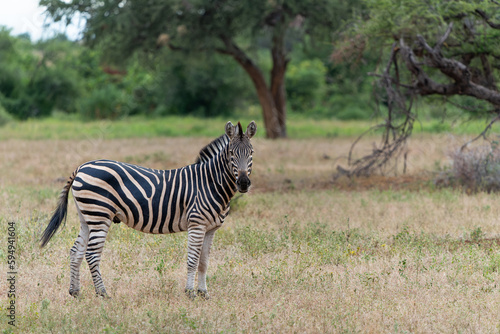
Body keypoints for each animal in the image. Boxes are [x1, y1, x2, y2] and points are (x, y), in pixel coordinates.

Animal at [40, 121, 256, 298]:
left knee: (76, 251)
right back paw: (103, 293)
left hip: (87, 217)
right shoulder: (197, 224)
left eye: (251, 153)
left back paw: (75, 292)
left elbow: (204, 262)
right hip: (99, 215)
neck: (210, 183)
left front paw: (204, 293)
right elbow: (193, 260)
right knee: (92, 254)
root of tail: (82, 167)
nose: (244, 183)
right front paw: (190, 293)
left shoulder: (211, 228)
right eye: (231, 154)